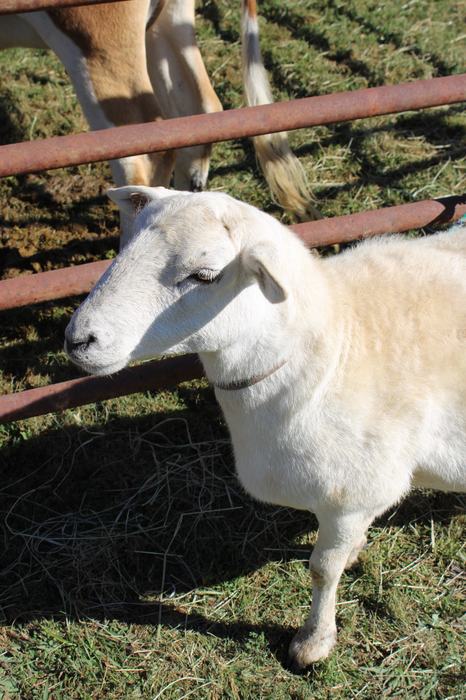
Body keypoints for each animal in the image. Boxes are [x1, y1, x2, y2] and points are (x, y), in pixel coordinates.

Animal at [65, 187, 466, 667]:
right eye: (125, 245)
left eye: (204, 275)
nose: (78, 339)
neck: (328, 353)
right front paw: (354, 553)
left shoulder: (351, 495)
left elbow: (322, 569)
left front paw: (313, 640)